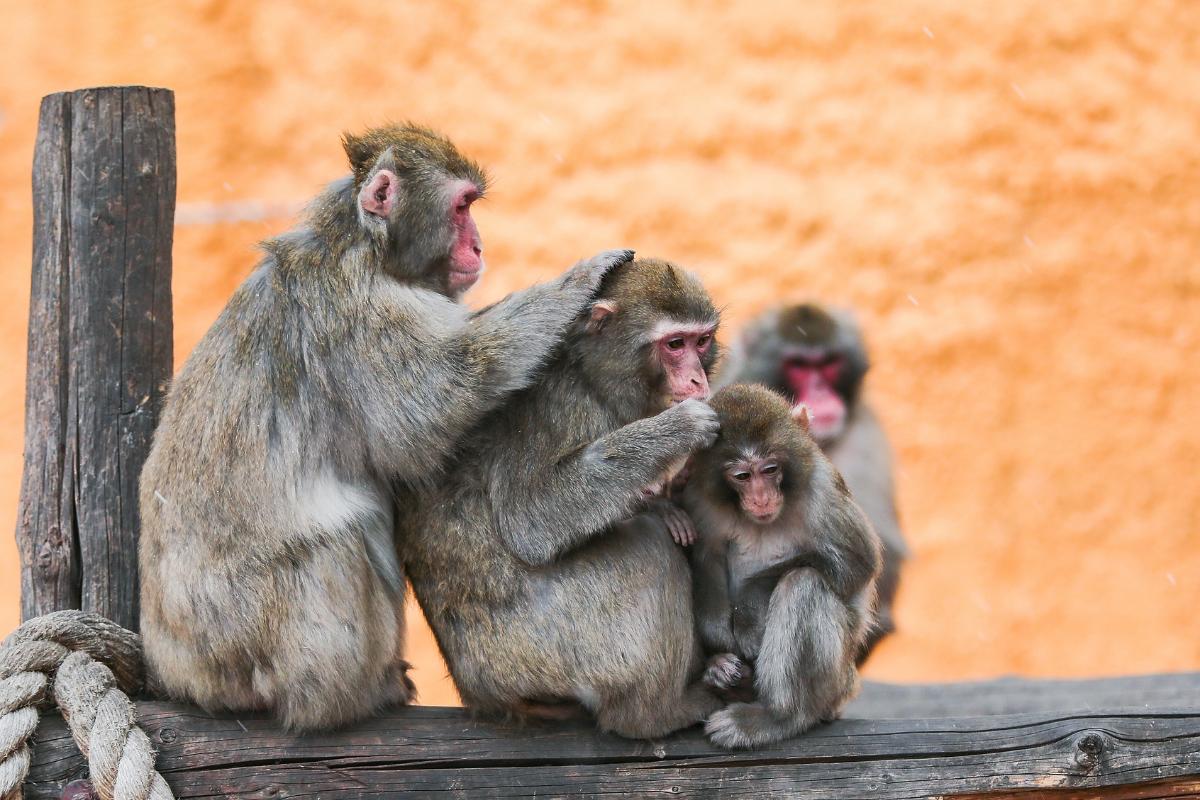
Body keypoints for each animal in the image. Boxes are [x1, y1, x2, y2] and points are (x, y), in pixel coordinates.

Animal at [138, 122, 634, 731]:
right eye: (463, 206)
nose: (479, 246)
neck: (361, 245)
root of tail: (181, 676)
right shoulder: (363, 311)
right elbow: (444, 393)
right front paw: (580, 281)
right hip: (254, 642)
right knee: (341, 537)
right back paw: (351, 697)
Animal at [399, 257, 728, 740]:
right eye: (674, 344)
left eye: (701, 341)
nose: (696, 378)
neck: (588, 371)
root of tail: (484, 696)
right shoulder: (551, 402)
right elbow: (532, 517)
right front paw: (681, 428)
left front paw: (664, 502)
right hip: (545, 654)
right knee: (648, 547)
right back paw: (653, 714)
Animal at [681, 383, 882, 749]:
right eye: (742, 476)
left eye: (770, 469)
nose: (761, 498)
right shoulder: (699, 498)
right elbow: (707, 558)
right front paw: (720, 650)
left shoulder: (822, 487)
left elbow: (856, 562)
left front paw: (748, 613)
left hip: (837, 682)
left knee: (804, 583)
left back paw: (778, 718)